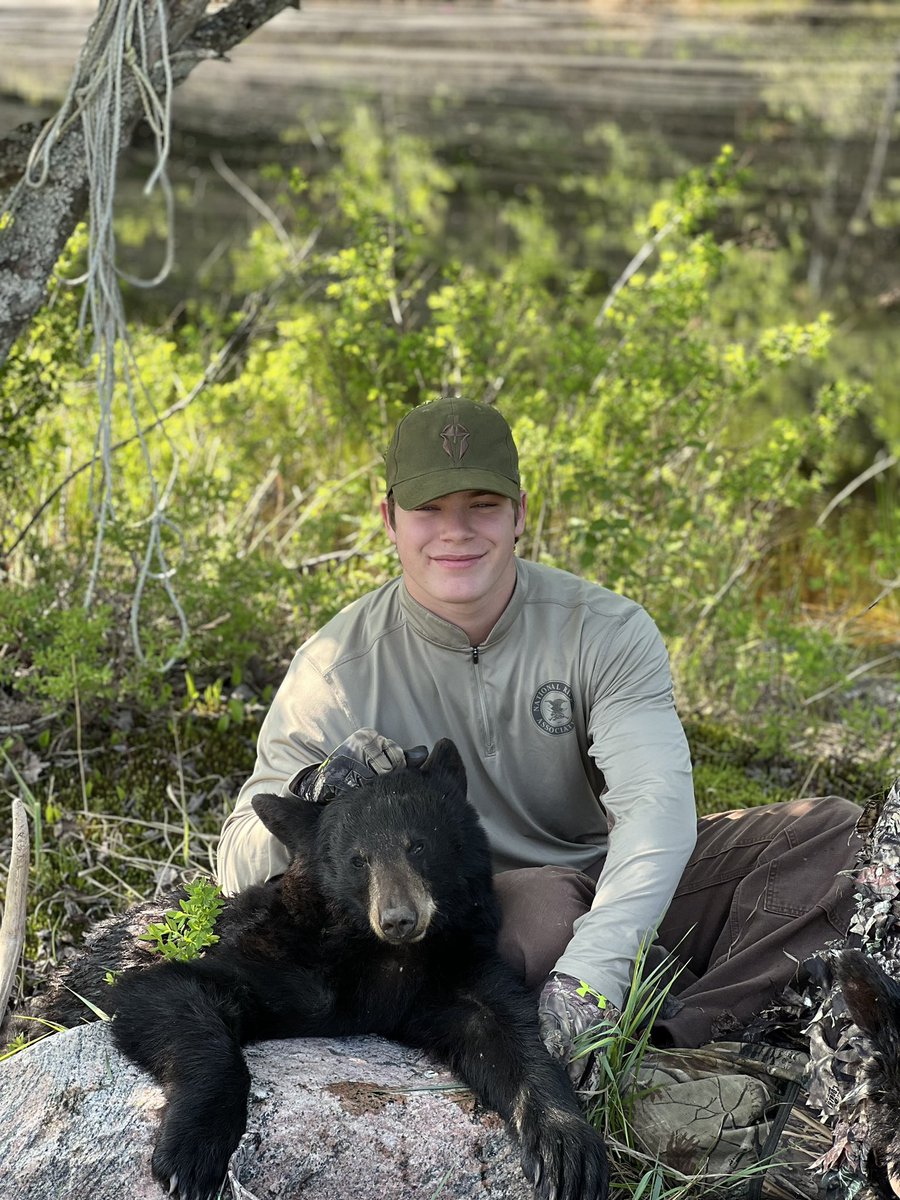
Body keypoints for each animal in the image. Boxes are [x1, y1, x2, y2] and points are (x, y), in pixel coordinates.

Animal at [31, 738, 609, 1200]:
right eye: (358, 859)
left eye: (418, 844)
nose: (399, 918)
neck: (385, 958)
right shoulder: (279, 958)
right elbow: (161, 992)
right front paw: (192, 1155)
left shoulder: (451, 969)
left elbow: (509, 1034)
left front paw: (568, 1150)